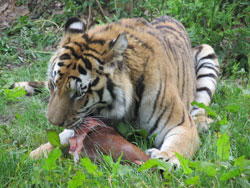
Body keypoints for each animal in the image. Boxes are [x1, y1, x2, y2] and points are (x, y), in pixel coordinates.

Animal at [12, 15, 219, 165]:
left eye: (79, 93)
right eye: (53, 85)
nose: (53, 122)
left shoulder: (181, 125)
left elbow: (177, 144)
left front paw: (165, 157)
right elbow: (59, 139)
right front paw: (29, 157)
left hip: (208, 54)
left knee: (201, 106)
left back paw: (202, 122)